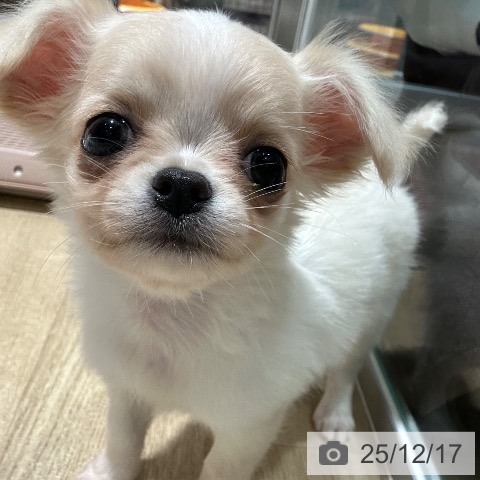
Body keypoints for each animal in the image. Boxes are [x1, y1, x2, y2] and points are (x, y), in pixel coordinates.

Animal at [0, 1, 446, 479]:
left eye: (269, 166)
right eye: (105, 132)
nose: (182, 185)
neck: (171, 319)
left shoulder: (248, 428)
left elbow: (219, 467)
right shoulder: (126, 392)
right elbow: (122, 442)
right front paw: (108, 473)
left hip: (375, 312)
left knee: (347, 367)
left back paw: (336, 414)